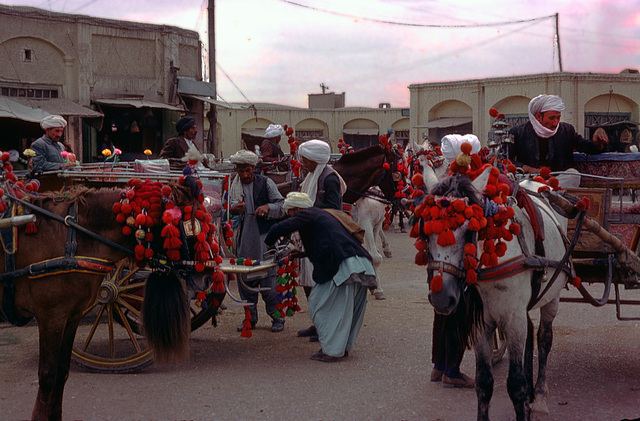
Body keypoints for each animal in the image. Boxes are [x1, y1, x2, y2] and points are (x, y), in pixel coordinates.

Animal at [0, 179, 205, 418]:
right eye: (193, 223)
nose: (205, 275)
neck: (73, 235)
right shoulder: (51, 315)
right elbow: (48, 375)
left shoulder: (71, 315)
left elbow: (61, 372)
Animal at [422, 165, 572, 420]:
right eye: (426, 227)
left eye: (469, 229)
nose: (441, 298)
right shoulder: (482, 324)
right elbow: (484, 382)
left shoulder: (513, 320)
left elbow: (515, 384)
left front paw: (526, 400)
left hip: (553, 295)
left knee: (544, 339)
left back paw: (540, 396)